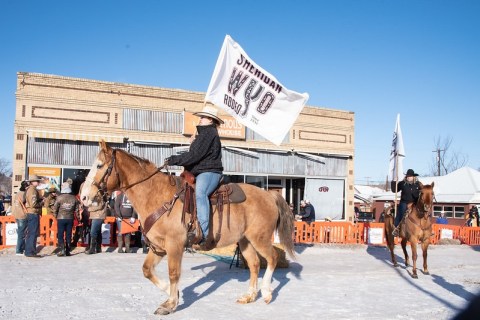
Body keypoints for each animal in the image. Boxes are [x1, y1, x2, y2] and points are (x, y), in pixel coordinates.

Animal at [80, 141, 294, 316]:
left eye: (99, 165)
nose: (84, 197)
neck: (156, 195)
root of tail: (269, 195)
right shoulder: (158, 247)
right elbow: (147, 270)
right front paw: (172, 292)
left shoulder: (175, 245)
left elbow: (174, 273)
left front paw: (170, 304)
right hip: (245, 241)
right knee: (255, 264)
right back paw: (249, 296)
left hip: (260, 238)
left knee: (272, 258)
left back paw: (266, 293)